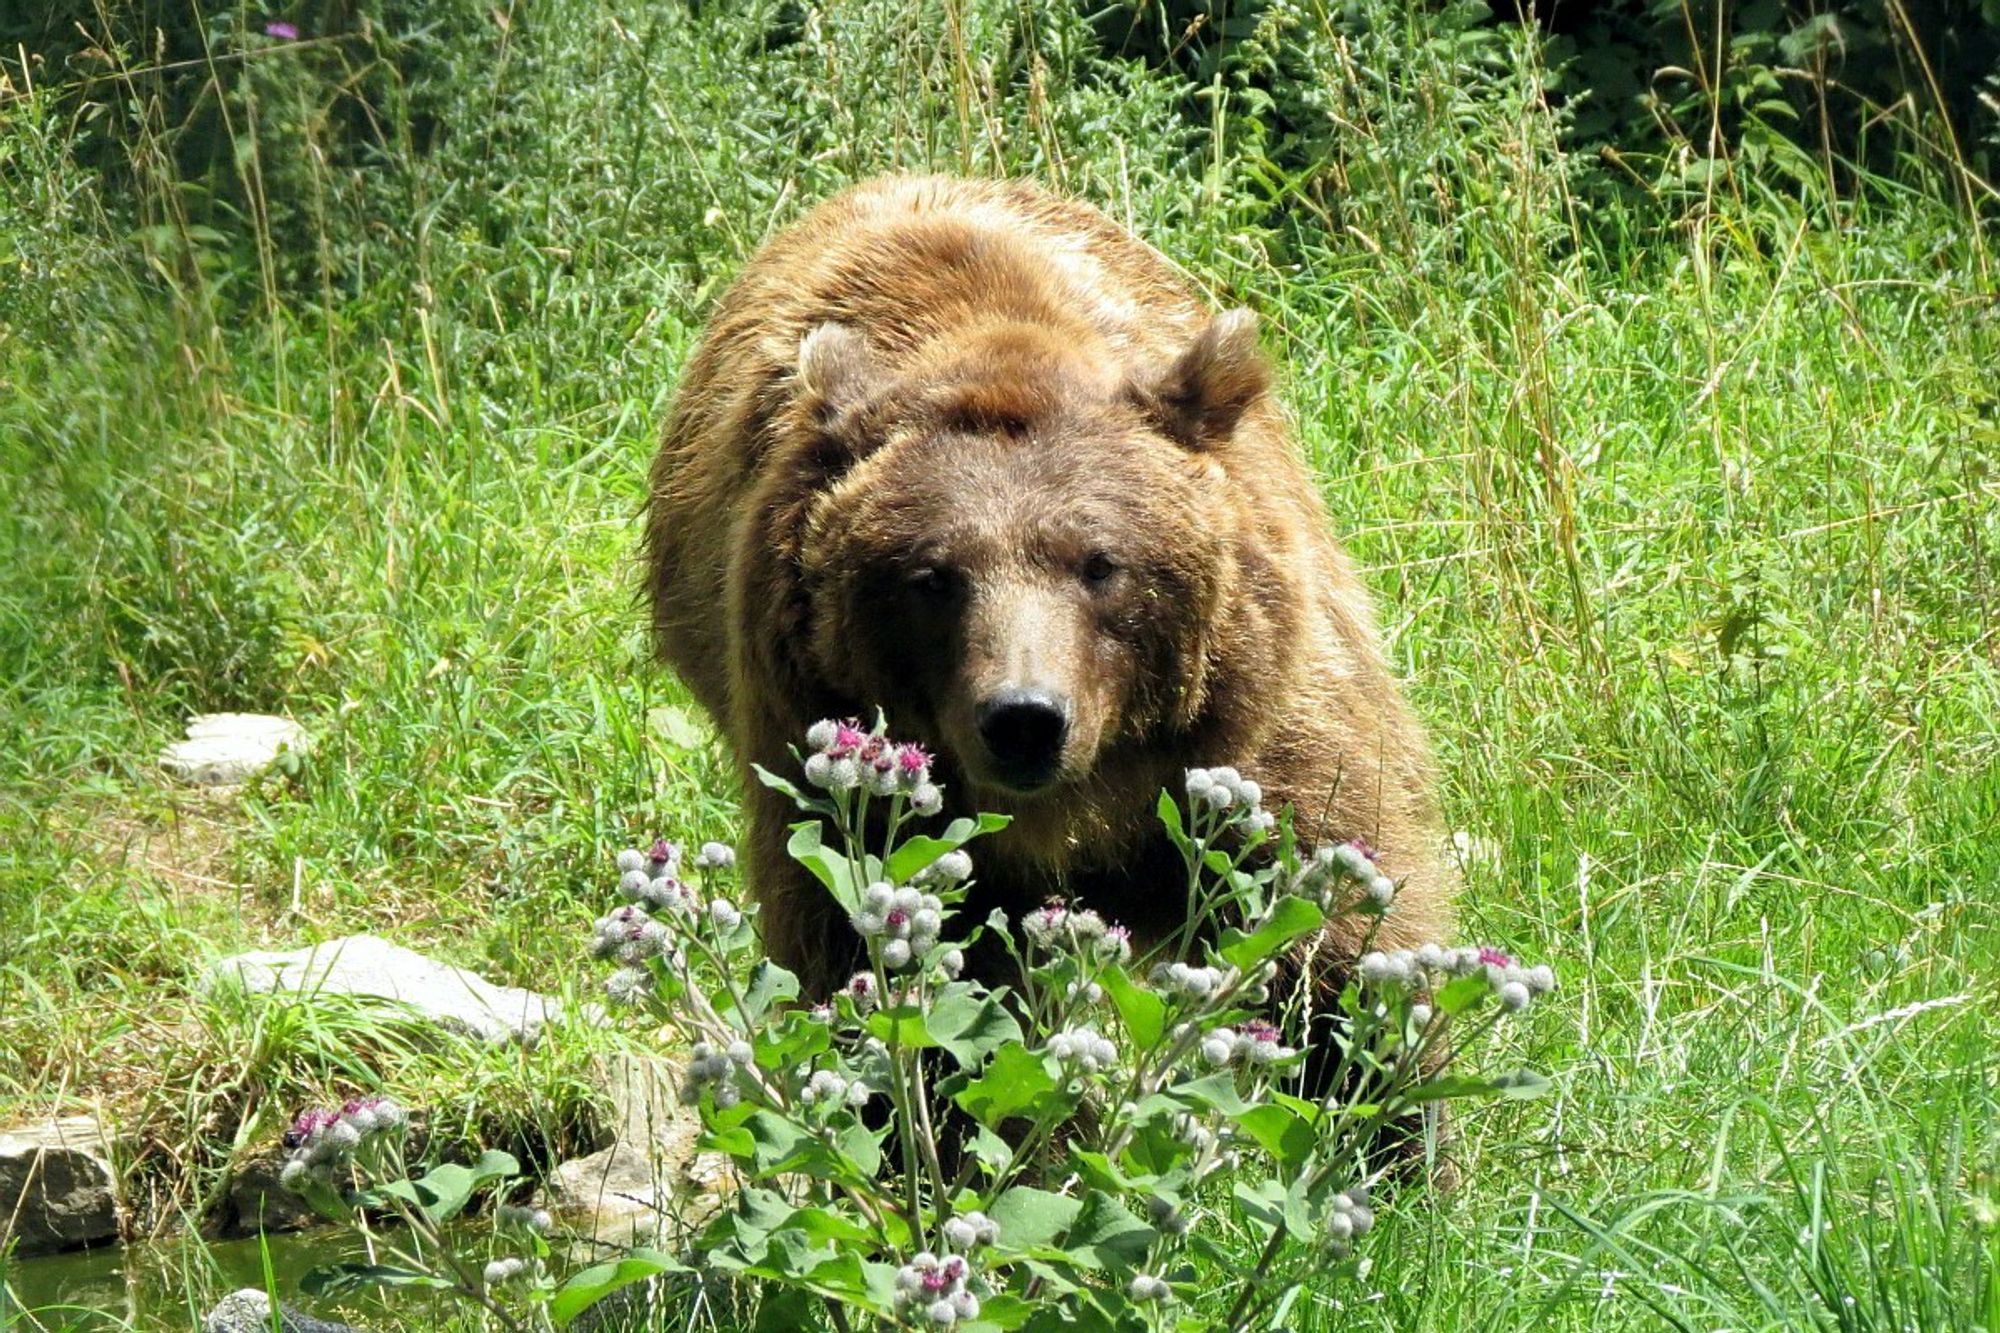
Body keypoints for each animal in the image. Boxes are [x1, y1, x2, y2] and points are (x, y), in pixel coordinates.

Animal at [648, 174, 1448, 996]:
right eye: (931, 577)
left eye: (1101, 562)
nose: (1024, 718)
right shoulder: (818, 743)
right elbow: (851, 925)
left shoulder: (1255, 714)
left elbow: (1327, 898)